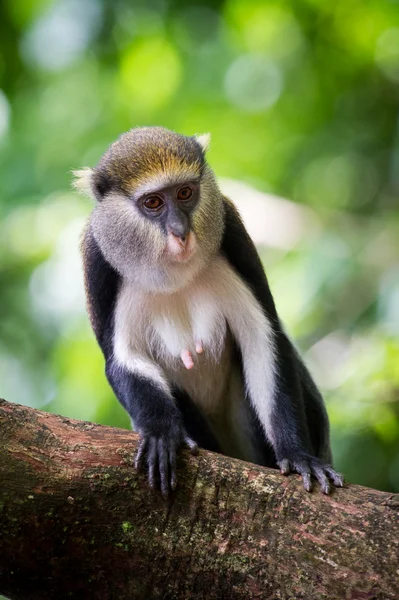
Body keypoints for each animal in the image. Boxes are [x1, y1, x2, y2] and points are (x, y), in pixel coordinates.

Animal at [74, 125, 344, 496]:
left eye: (185, 193)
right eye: (153, 202)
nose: (180, 232)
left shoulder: (232, 229)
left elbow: (263, 339)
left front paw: (298, 454)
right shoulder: (98, 259)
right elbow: (124, 359)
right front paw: (161, 434)